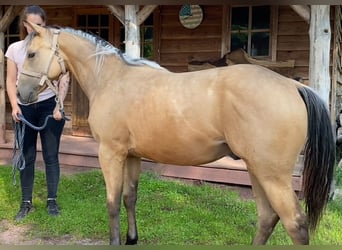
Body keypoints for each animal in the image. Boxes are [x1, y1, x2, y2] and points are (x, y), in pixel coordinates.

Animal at [15, 22, 334, 245]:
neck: (112, 79)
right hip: (258, 170)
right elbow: (130, 197)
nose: (20, 95)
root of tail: (294, 86)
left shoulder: (110, 153)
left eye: (31, 53)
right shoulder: (132, 156)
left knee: (295, 224)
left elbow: (112, 202)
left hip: (272, 176)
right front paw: (132, 239)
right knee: (267, 218)